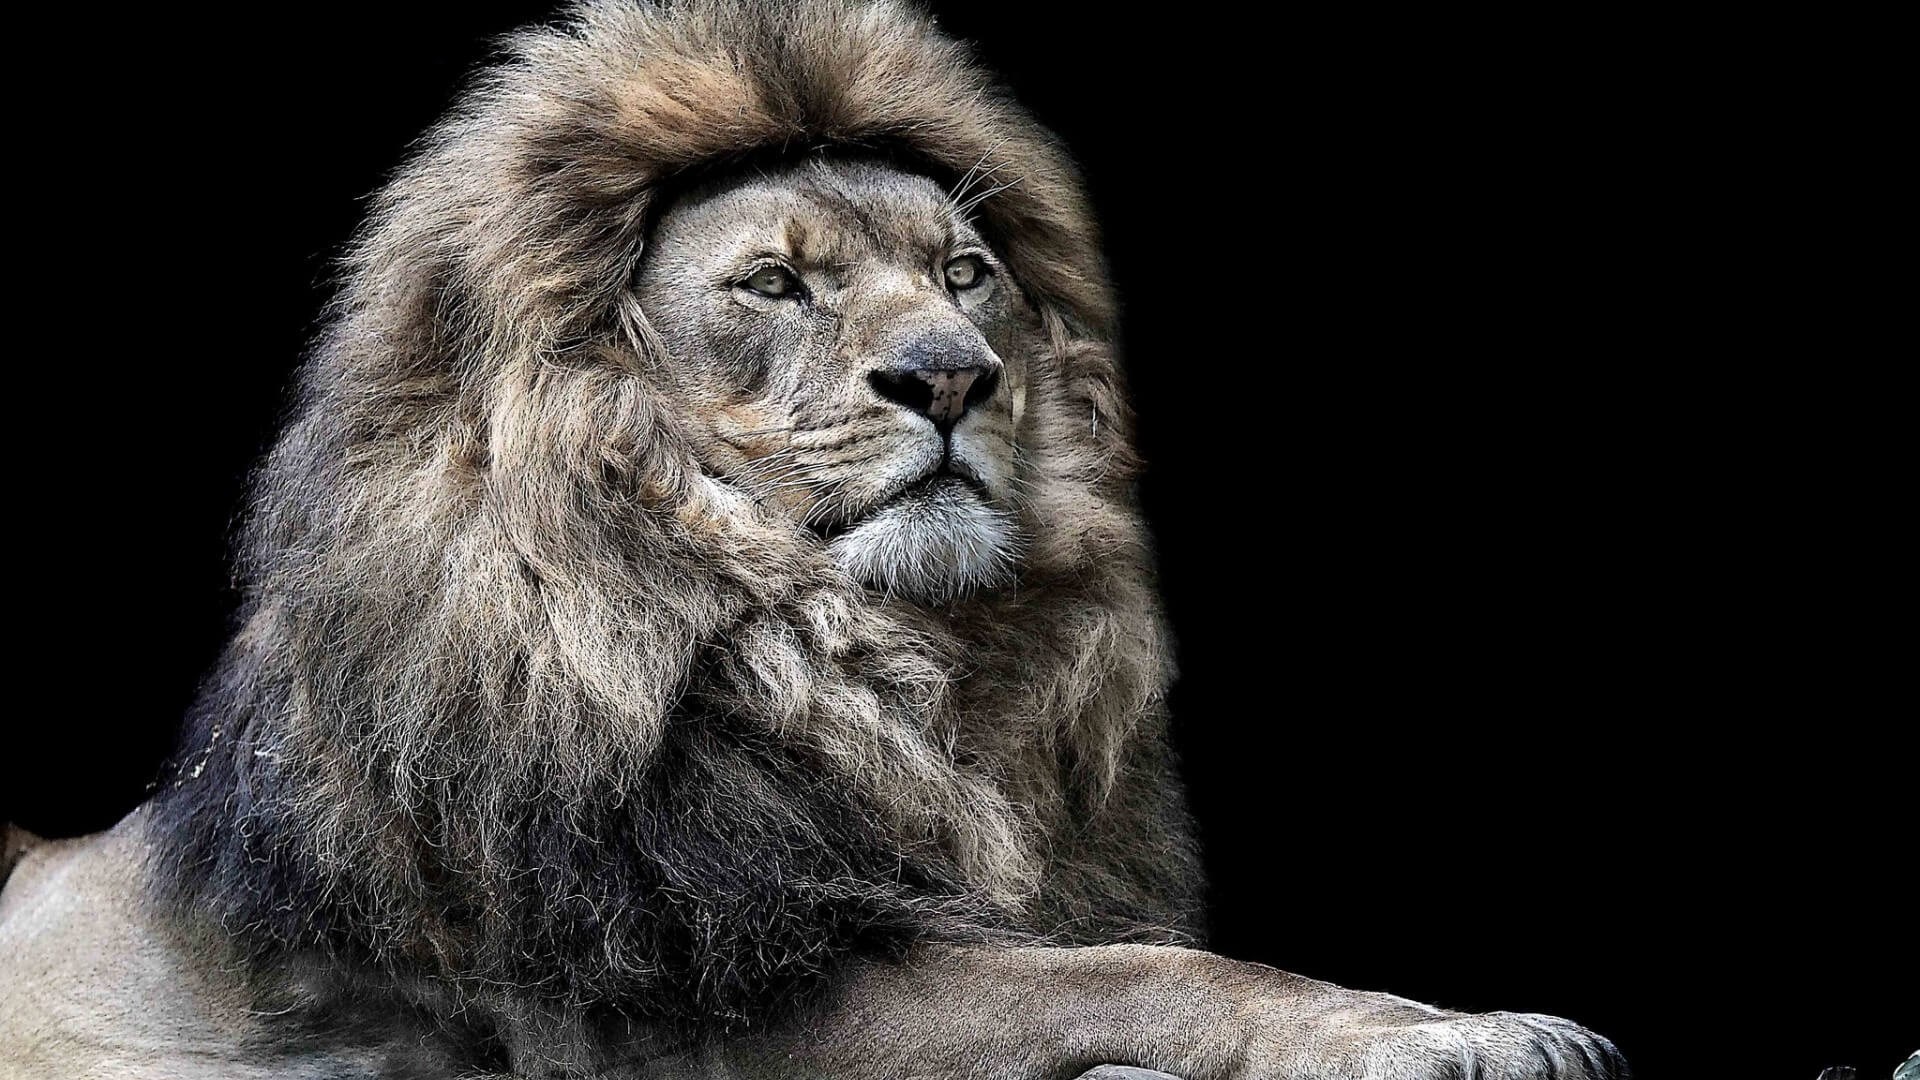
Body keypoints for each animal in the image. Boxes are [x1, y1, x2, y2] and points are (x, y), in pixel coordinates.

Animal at [0, 3, 1626, 1078]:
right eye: (775, 284)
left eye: (964, 273)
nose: (954, 376)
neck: (845, 654)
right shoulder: (702, 997)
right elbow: (1142, 975)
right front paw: (1456, 1034)